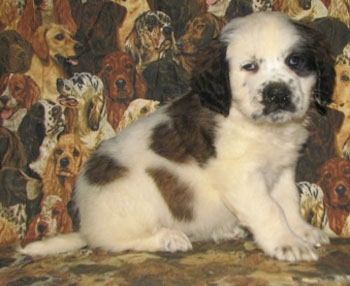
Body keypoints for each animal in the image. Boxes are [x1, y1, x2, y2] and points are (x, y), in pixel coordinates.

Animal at [19, 12, 336, 262]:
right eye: (249, 66)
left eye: (295, 61)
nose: (277, 94)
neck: (260, 126)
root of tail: (86, 226)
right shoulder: (241, 176)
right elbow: (270, 209)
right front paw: (287, 243)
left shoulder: (281, 168)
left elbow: (288, 202)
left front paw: (302, 231)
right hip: (137, 197)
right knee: (116, 241)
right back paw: (168, 238)